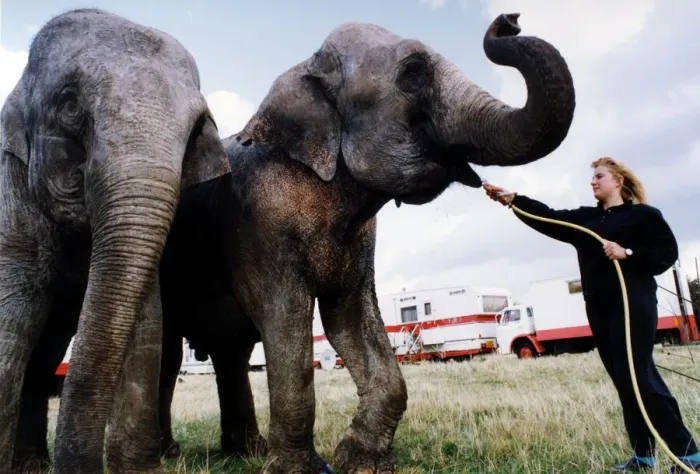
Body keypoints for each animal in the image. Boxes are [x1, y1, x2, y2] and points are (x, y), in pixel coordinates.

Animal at [0, 8, 229, 473]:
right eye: (70, 106)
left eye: (196, 130)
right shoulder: (11, 195)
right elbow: (14, 313)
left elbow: (148, 323)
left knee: (44, 360)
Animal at [155, 12, 576, 474]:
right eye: (412, 73)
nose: (508, 21)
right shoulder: (260, 226)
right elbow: (286, 320)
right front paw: (304, 470)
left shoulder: (359, 239)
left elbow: (351, 320)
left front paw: (360, 462)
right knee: (170, 353)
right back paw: (170, 453)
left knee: (230, 351)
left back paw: (246, 452)